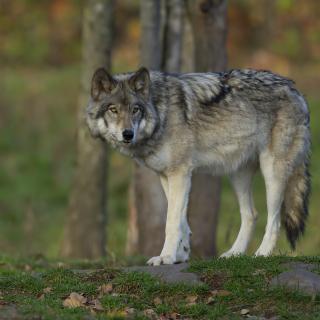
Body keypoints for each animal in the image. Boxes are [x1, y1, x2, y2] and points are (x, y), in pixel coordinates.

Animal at [85, 67, 310, 264]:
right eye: (113, 110)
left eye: (135, 110)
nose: (128, 134)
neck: (161, 112)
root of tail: (296, 90)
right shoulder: (167, 176)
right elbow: (182, 220)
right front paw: (181, 254)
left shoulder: (180, 173)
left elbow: (171, 222)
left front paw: (166, 257)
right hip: (237, 175)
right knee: (251, 215)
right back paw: (234, 254)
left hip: (272, 172)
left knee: (275, 219)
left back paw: (262, 254)